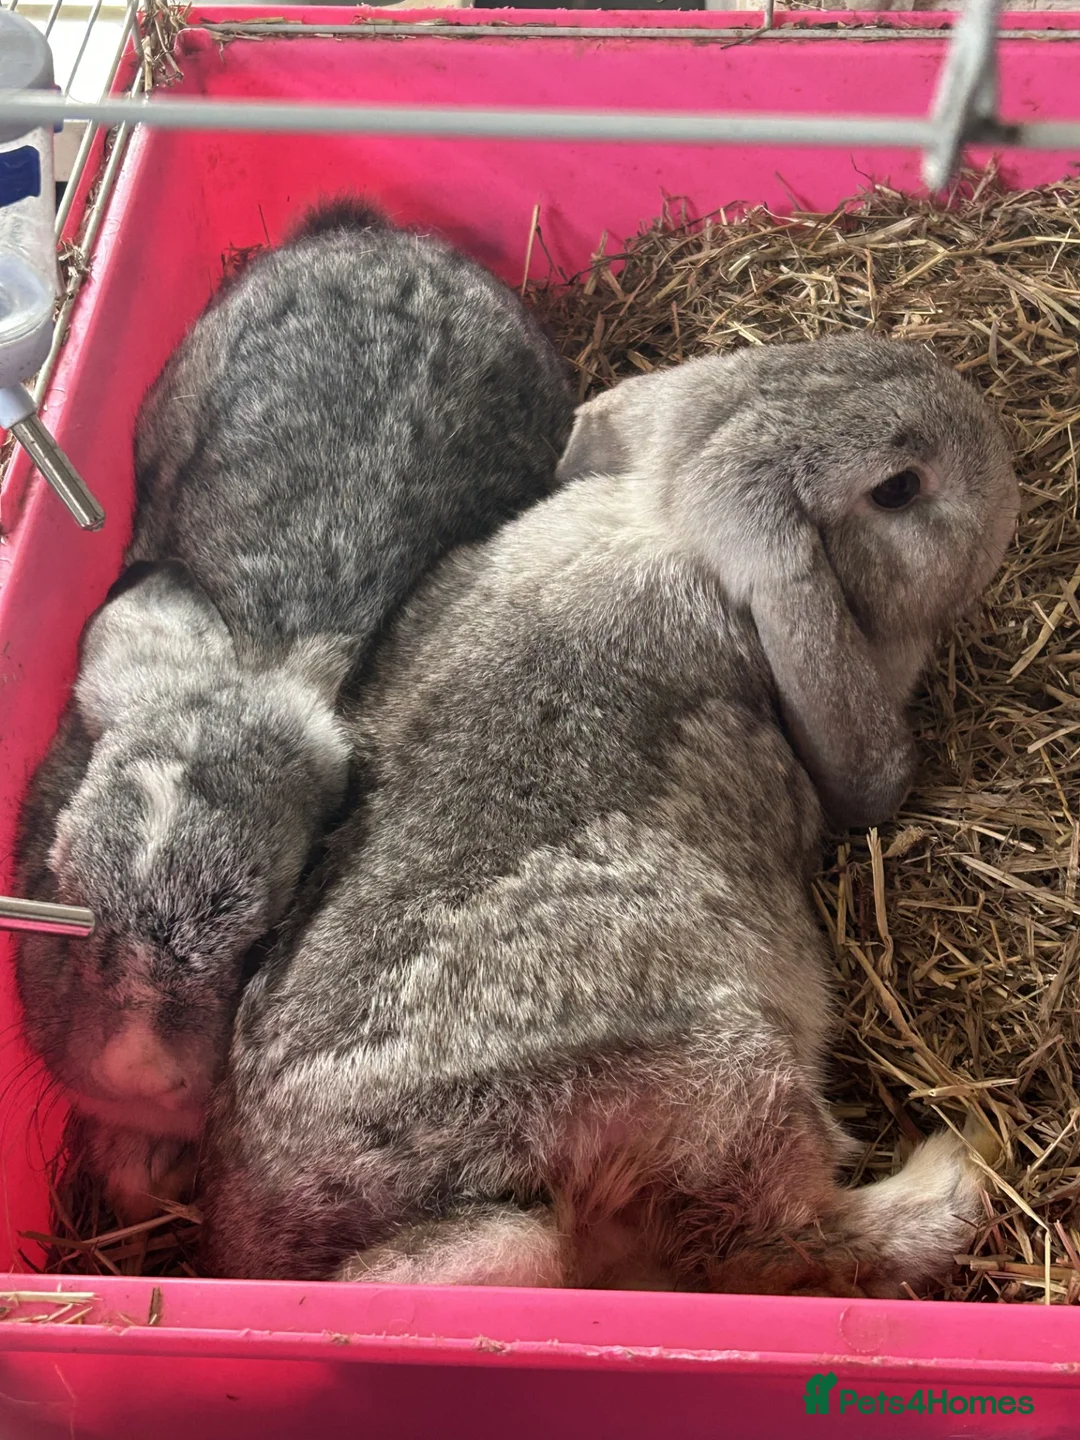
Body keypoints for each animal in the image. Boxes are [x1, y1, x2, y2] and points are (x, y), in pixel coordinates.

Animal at [197, 334, 1017, 1293]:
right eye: (898, 488)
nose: (1000, 466)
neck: (664, 526)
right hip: (733, 1075)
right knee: (784, 1243)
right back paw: (958, 1168)